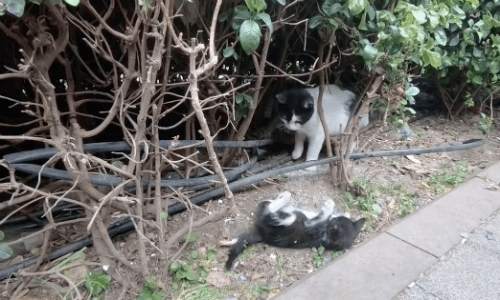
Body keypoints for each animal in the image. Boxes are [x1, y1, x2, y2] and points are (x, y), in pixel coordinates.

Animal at [226, 191, 364, 270]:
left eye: (334, 222)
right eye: (338, 219)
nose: (334, 216)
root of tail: (261, 234)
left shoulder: (312, 225)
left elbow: (321, 215)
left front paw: (329, 205)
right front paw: (336, 208)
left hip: (285, 223)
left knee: (272, 212)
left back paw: (283, 198)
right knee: (268, 206)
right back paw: (280, 197)